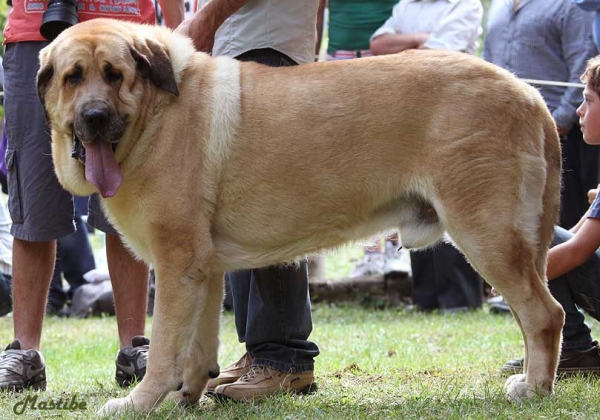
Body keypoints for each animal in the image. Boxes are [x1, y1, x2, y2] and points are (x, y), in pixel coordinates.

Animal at [36, 18, 564, 414]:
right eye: (72, 77)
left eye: (114, 74)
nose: (94, 117)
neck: (155, 114)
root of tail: (529, 94)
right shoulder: (201, 269)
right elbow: (198, 344)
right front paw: (188, 394)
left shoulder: (174, 263)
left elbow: (165, 345)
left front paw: (140, 402)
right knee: (535, 314)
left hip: (486, 234)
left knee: (544, 314)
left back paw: (534, 389)